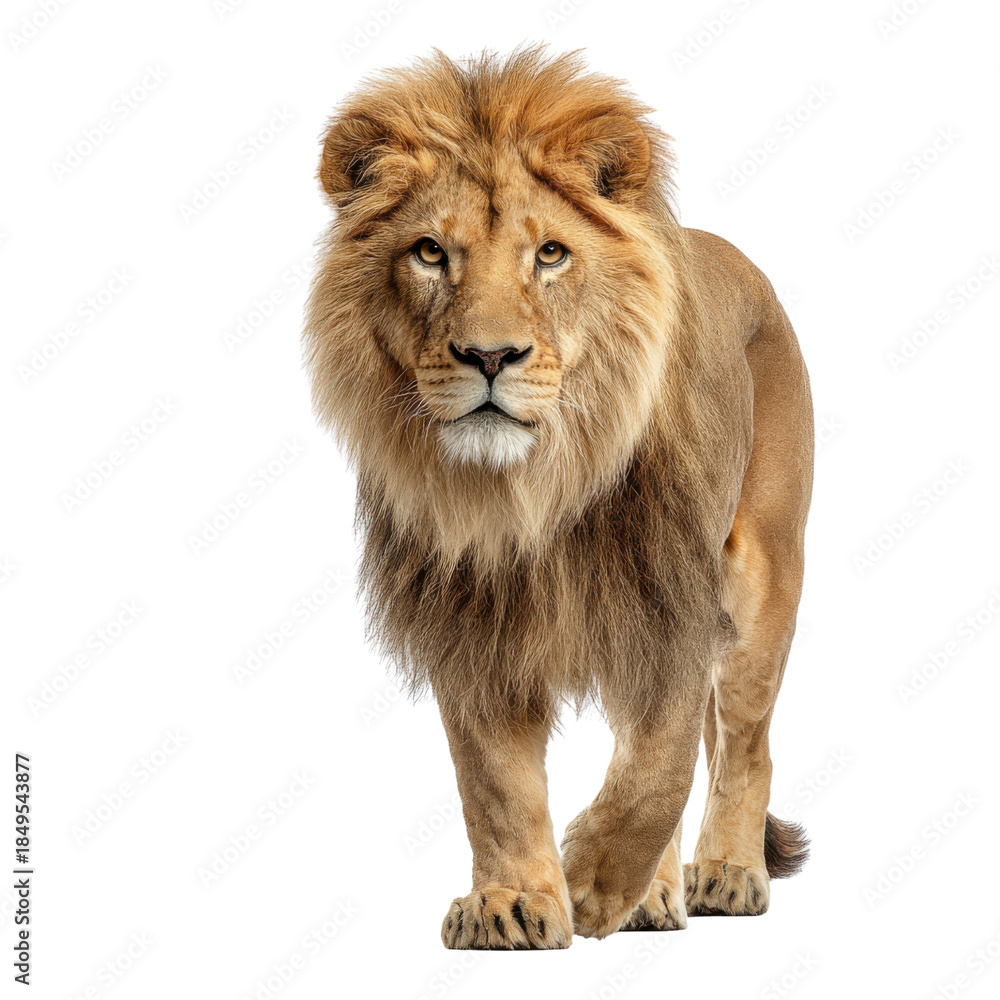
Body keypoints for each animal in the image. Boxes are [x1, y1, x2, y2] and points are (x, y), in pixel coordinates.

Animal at [304, 47, 813, 949]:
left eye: (550, 254)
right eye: (429, 253)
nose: (489, 356)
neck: (534, 489)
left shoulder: (673, 602)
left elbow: (658, 767)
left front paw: (596, 885)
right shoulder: (472, 622)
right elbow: (495, 784)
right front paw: (515, 903)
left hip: (763, 574)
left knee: (744, 744)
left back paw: (725, 874)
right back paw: (655, 899)